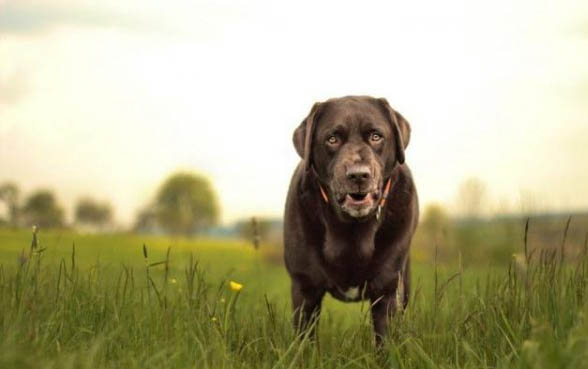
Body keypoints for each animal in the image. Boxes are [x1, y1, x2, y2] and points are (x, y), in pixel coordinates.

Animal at [284, 95, 418, 344]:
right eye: (332, 139)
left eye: (376, 136)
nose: (358, 175)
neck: (351, 229)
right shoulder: (305, 287)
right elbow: (304, 341)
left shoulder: (387, 289)